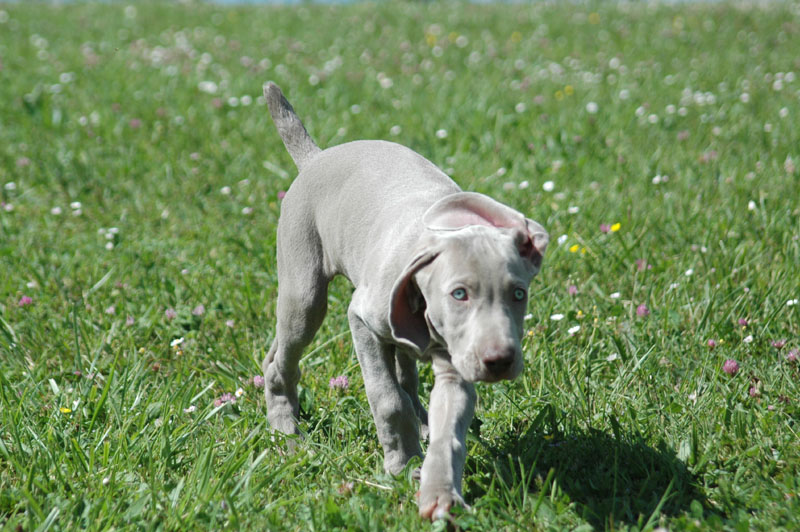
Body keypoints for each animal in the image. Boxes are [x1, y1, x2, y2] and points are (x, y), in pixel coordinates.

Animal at [262, 83, 552, 520]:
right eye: (459, 293)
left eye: (519, 294)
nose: (500, 362)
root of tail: (317, 156)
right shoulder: (361, 321)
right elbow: (387, 400)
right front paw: (400, 466)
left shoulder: (455, 363)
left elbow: (450, 425)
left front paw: (439, 492)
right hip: (304, 292)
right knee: (284, 359)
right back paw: (286, 430)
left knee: (402, 376)